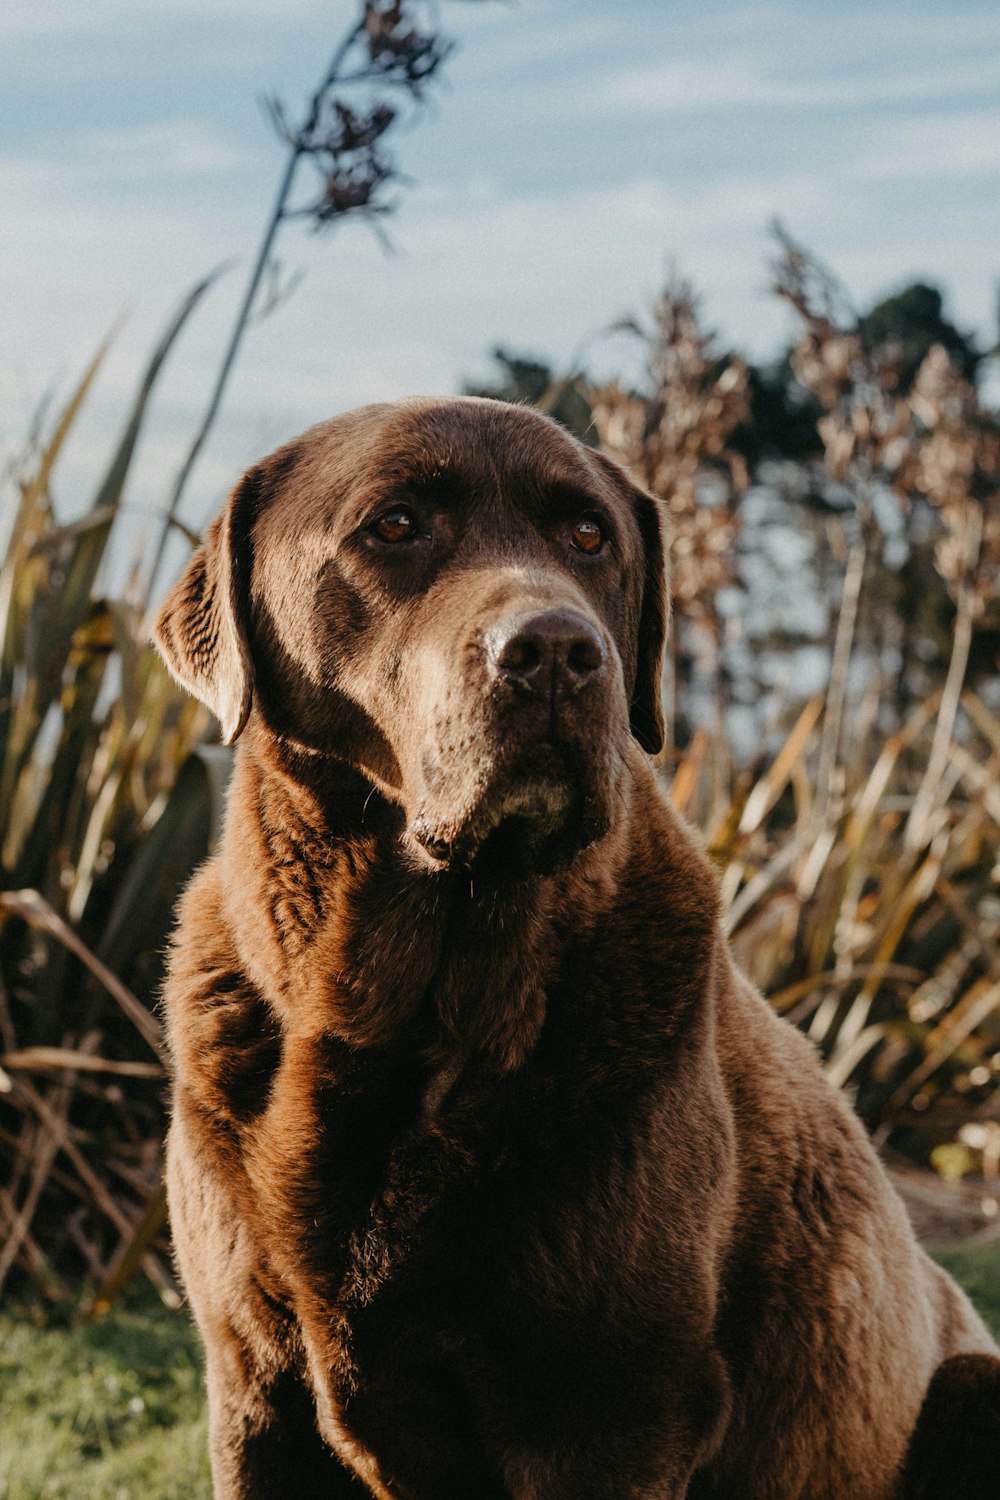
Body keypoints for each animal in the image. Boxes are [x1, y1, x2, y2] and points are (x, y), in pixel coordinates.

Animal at [156, 399, 1000, 1500]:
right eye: (395, 524)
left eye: (590, 537)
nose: (557, 650)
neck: (416, 1008)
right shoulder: (252, 1387)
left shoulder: (609, 1410)